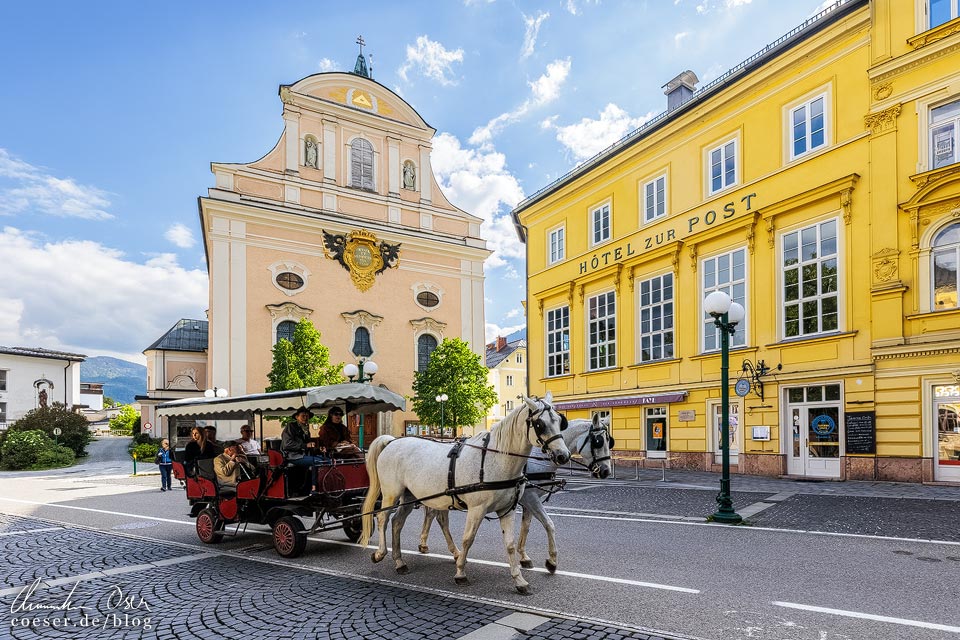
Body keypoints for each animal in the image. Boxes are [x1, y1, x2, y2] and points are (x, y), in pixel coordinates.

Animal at [358, 396, 568, 596]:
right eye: (539, 424)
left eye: (560, 421)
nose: (563, 455)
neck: (496, 459)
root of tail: (392, 441)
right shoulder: (477, 509)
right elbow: (468, 539)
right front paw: (460, 572)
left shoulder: (507, 510)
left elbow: (510, 544)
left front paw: (519, 580)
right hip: (391, 494)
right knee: (383, 518)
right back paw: (380, 553)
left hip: (410, 496)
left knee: (397, 522)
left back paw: (399, 561)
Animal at [418, 416, 616, 576]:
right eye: (598, 441)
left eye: (609, 441)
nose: (606, 471)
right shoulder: (530, 498)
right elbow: (549, 524)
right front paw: (551, 562)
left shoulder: (528, 500)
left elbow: (526, 527)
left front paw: (524, 556)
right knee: (438, 517)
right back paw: (449, 550)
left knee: (435, 516)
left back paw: (429, 545)